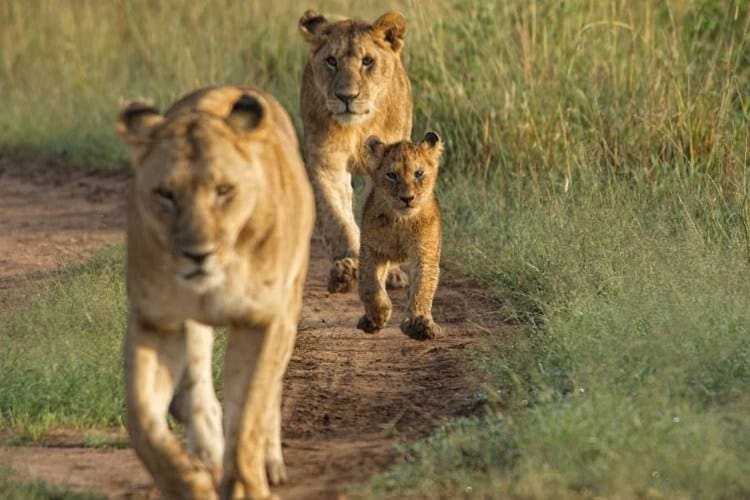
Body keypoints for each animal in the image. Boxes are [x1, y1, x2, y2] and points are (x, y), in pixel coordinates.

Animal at [116, 86, 314, 499]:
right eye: (166, 194)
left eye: (224, 191)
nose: (197, 253)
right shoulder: (157, 320)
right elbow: (142, 418)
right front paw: (188, 482)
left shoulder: (263, 319)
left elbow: (250, 410)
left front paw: (247, 486)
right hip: (192, 327)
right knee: (199, 389)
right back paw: (206, 451)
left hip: (291, 297)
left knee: (270, 391)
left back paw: (269, 462)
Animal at [299, 9, 413, 293]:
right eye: (331, 61)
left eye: (367, 61)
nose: (346, 97)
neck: (358, 128)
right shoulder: (327, 165)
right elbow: (338, 220)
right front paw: (346, 270)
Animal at [356, 132, 444, 341]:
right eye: (391, 175)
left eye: (418, 173)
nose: (407, 198)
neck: (400, 221)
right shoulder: (372, 249)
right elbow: (369, 286)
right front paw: (378, 315)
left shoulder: (425, 253)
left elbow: (422, 287)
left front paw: (419, 324)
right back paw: (368, 321)